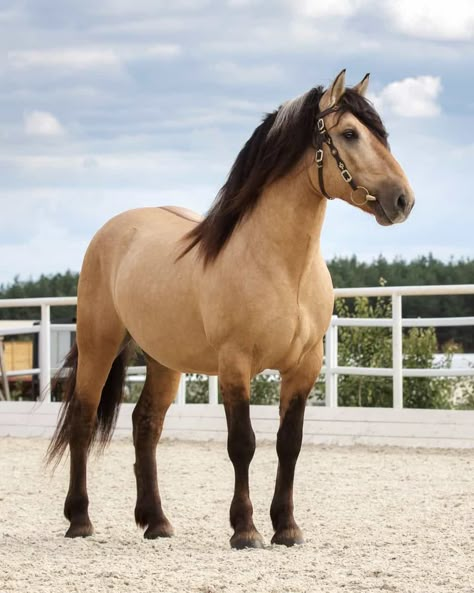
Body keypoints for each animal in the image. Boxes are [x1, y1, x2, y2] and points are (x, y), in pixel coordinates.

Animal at [46, 70, 412, 552]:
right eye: (350, 133)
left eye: (381, 133)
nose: (403, 200)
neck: (282, 266)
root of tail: (114, 229)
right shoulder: (235, 364)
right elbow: (243, 443)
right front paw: (246, 529)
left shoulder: (305, 366)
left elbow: (289, 443)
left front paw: (287, 527)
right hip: (98, 345)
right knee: (83, 421)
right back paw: (80, 520)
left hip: (164, 359)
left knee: (146, 424)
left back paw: (156, 522)